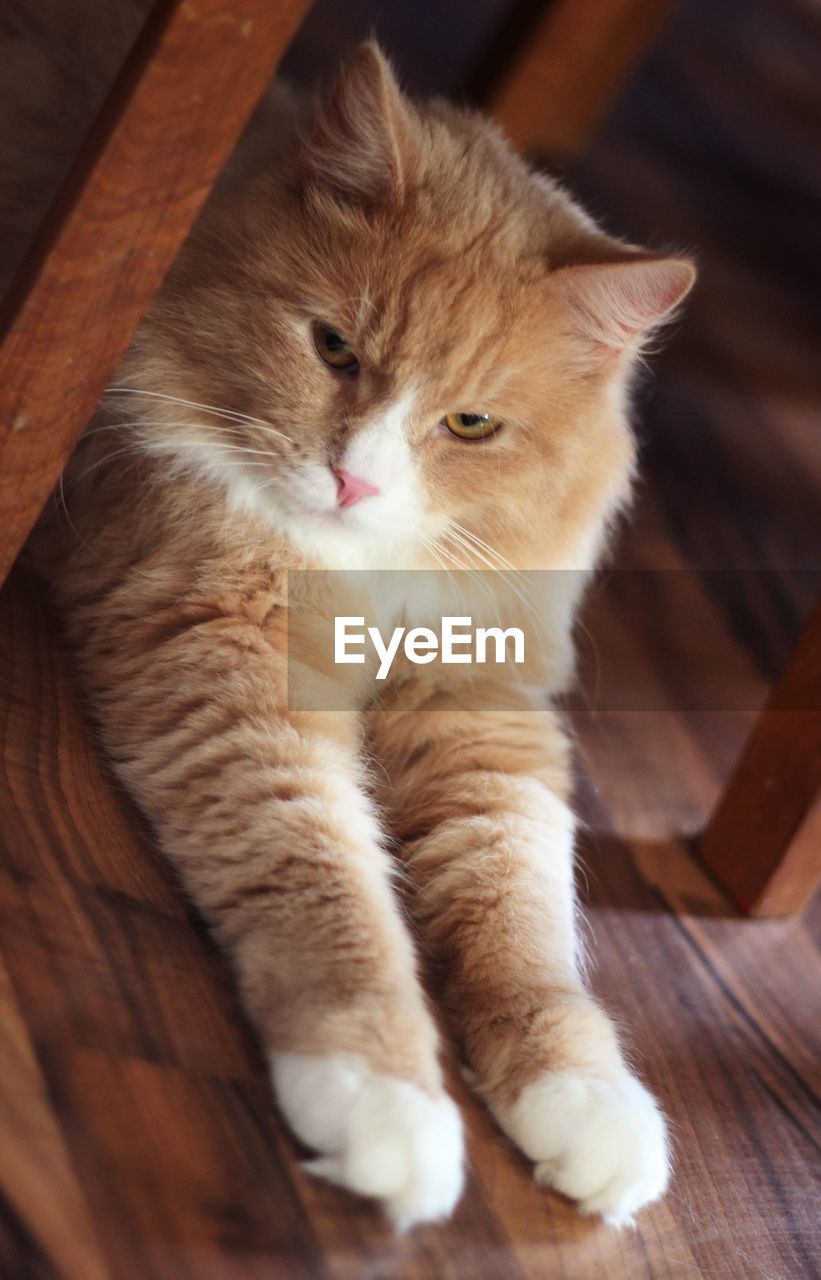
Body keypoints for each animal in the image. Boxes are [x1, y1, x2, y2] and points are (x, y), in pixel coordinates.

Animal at [35, 45, 696, 1228]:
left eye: (470, 424)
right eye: (333, 349)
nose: (355, 481)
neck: (368, 576)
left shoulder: (484, 713)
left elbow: (524, 919)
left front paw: (585, 1103)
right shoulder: (223, 651)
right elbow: (329, 885)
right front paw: (383, 1101)